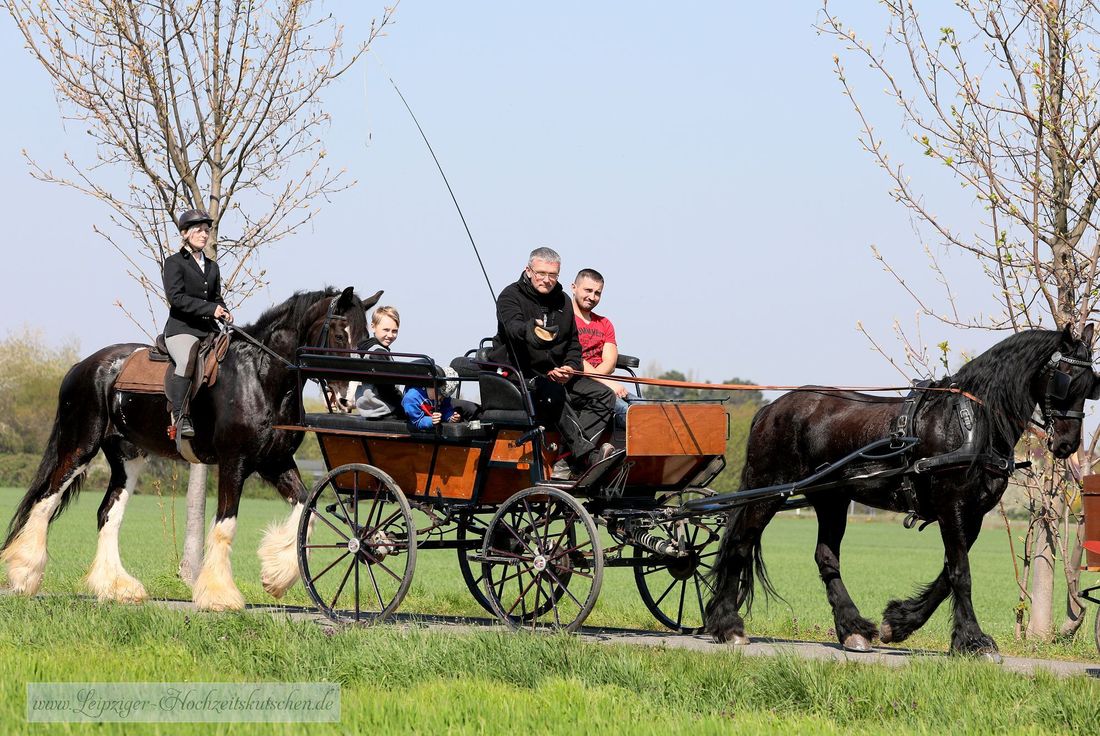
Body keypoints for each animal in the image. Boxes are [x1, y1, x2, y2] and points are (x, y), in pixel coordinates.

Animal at [0, 283, 380, 611]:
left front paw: (275, 577)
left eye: (364, 338)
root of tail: (83, 366)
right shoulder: (234, 462)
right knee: (46, 500)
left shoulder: (275, 461)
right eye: (339, 334)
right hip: (80, 446)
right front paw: (219, 595)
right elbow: (226, 525)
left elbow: (306, 508)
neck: (259, 377)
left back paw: (118, 587)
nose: (348, 398)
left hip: (127, 457)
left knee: (108, 513)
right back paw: (24, 576)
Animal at [704, 327, 1100, 655]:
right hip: (769, 491)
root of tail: (771, 408)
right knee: (739, 543)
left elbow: (947, 574)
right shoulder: (952, 506)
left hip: (831, 498)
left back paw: (852, 629)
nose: (1066, 445)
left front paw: (899, 623)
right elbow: (961, 573)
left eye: (1090, 386)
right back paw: (728, 625)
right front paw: (974, 641)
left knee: (825, 556)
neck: (969, 422)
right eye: (1064, 381)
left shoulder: (972, 514)